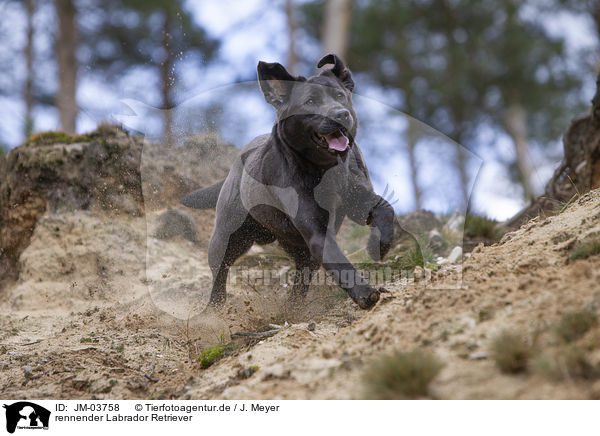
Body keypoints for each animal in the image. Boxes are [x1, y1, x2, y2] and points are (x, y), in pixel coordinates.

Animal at [183, 52, 398, 308]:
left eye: (339, 96)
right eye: (310, 102)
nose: (341, 114)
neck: (326, 170)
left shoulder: (358, 201)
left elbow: (386, 210)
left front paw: (379, 246)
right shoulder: (316, 231)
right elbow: (339, 261)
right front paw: (364, 293)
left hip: (298, 249)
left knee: (301, 279)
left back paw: (292, 308)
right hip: (227, 237)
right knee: (220, 274)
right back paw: (214, 310)